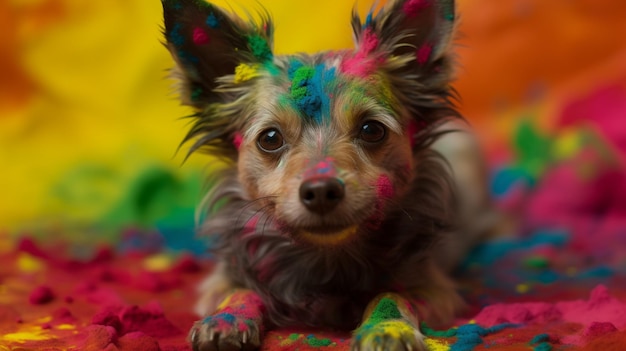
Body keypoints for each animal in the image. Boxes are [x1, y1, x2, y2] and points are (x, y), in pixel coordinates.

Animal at [158, 0, 490, 351]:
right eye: (270, 138)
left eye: (372, 130)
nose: (320, 191)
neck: (326, 256)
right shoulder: (221, 280)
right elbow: (241, 290)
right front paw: (226, 320)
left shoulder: (434, 288)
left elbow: (392, 294)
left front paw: (388, 329)